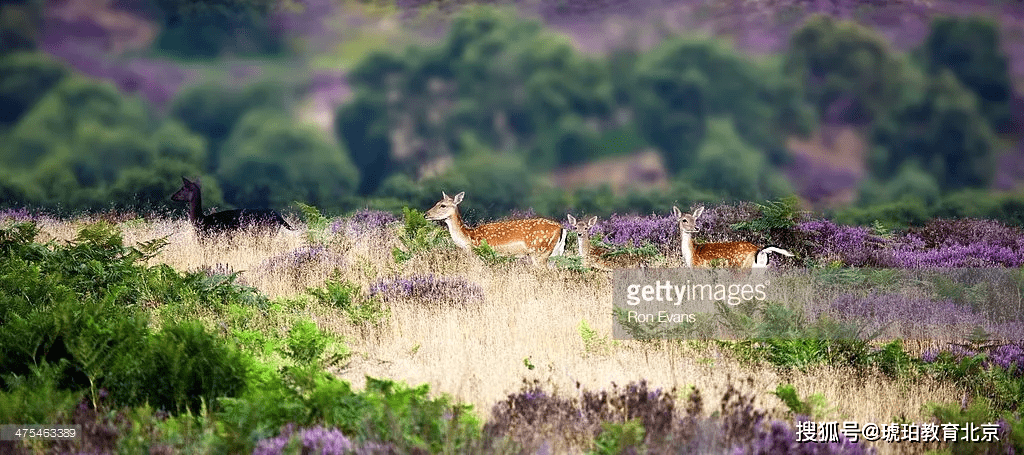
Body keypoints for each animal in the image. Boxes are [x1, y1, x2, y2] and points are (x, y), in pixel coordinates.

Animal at [423, 190, 569, 266]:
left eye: (442, 205)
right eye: (437, 202)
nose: (426, 214)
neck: (470, 238)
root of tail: (562, 228)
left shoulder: (484, 255)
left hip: (539, 252)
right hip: (555, 253)